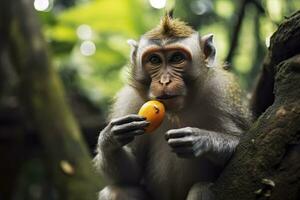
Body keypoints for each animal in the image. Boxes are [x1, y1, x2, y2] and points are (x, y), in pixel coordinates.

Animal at [94, 12, 251, 200]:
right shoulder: (129, 102)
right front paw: (111, 137)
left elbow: (243, 147)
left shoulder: (223, 93)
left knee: (202, 188)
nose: (164, 81)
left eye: (177, 58)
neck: (176, 112)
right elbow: (130, 175)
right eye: (154, 60)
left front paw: (202, 139)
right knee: (118, 190)